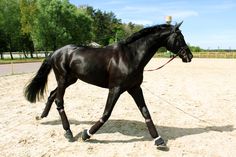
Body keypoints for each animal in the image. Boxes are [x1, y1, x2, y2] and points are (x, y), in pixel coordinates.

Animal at [24, 21, 193, 148]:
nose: (189, 56)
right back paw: (68, 132)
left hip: (70, 80)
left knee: (52, 95)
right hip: (63, 79)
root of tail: (55, 52)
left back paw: (42, 116)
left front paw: (158, 140)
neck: (130, 56)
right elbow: (106, 113)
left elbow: (145, 112)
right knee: (59, 101)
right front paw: (86, 134)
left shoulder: (134, 88)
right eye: (179, 37)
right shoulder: (115, 89)